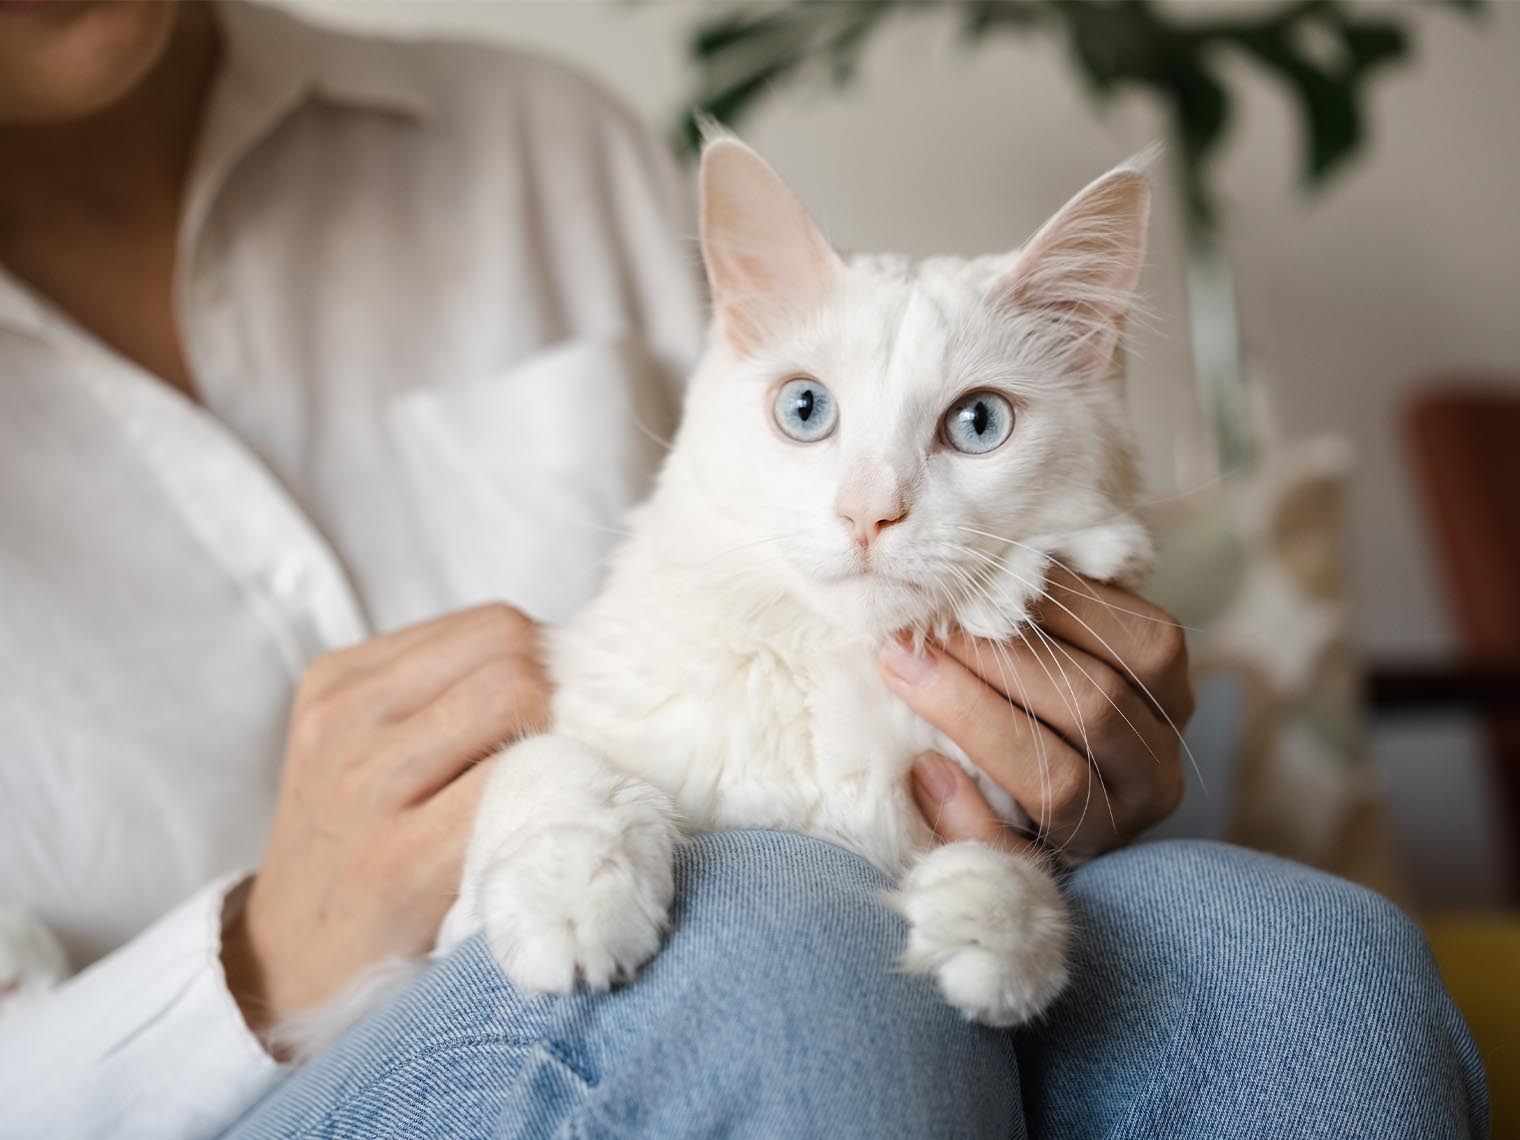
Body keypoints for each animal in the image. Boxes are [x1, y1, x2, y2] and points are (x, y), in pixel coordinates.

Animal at [440, 138, 1149, 1033]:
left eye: (978, 423)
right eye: (806, 410)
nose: (868, 513)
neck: (827, 667)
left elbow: (1003, 858)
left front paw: (993, 931)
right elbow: (549, 764)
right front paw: (573, 899)